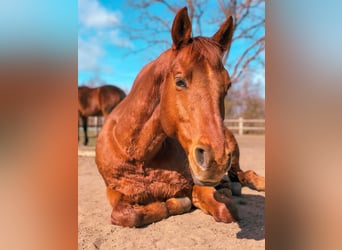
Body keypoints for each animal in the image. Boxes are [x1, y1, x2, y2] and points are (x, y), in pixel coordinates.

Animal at [95, 6, 266, 228]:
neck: (138, 154)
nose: (216, 159)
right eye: (179, 81)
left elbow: (225, 209)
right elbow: (127, 214)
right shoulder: (114, 190)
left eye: (228, 85)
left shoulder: (196, 183)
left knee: (244, 175)